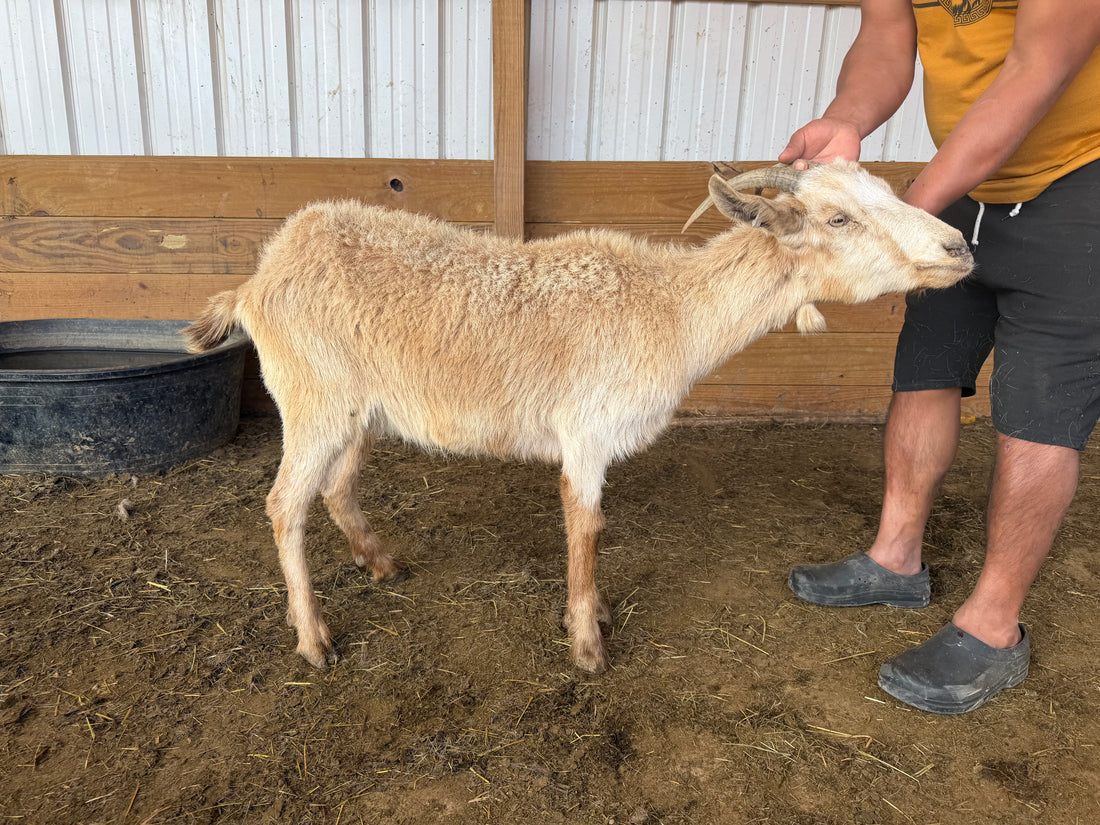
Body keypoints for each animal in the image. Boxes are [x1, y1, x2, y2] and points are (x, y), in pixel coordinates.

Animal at [183, 160, 972, 673]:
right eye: (839, 217)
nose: (958, 246)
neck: (670, 310)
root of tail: (257, 277)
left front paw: (589, 623)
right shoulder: (588, 431)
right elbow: (586, 529)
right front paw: (588, 644)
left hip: (357, 407)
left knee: (336, 486)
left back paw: (380, 562)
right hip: (311, 398)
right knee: (285, 502)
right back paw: (313, 639)